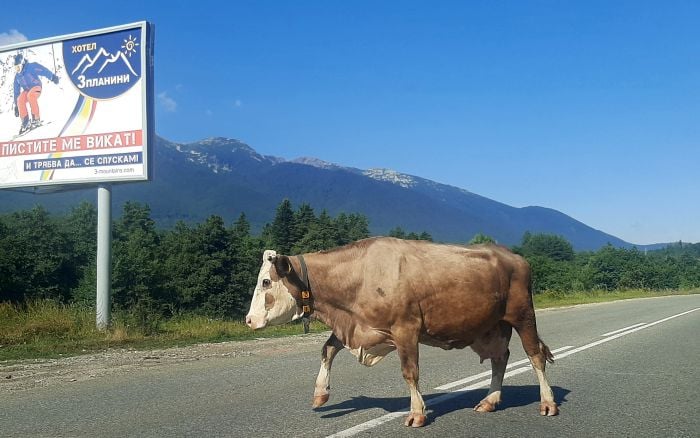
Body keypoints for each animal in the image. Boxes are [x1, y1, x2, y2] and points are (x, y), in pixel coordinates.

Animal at [246, 238, 556, 426]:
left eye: (265, 282)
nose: (249, 320)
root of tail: (512, 255)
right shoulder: (358, 327)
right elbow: (328, 349)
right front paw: (320, 394)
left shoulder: (405, 327)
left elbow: (410, 372)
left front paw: (417, 413)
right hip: (492, 325)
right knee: (500, 358)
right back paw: (490, 401)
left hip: (523, 314)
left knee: (535, 356)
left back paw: (548, 403)